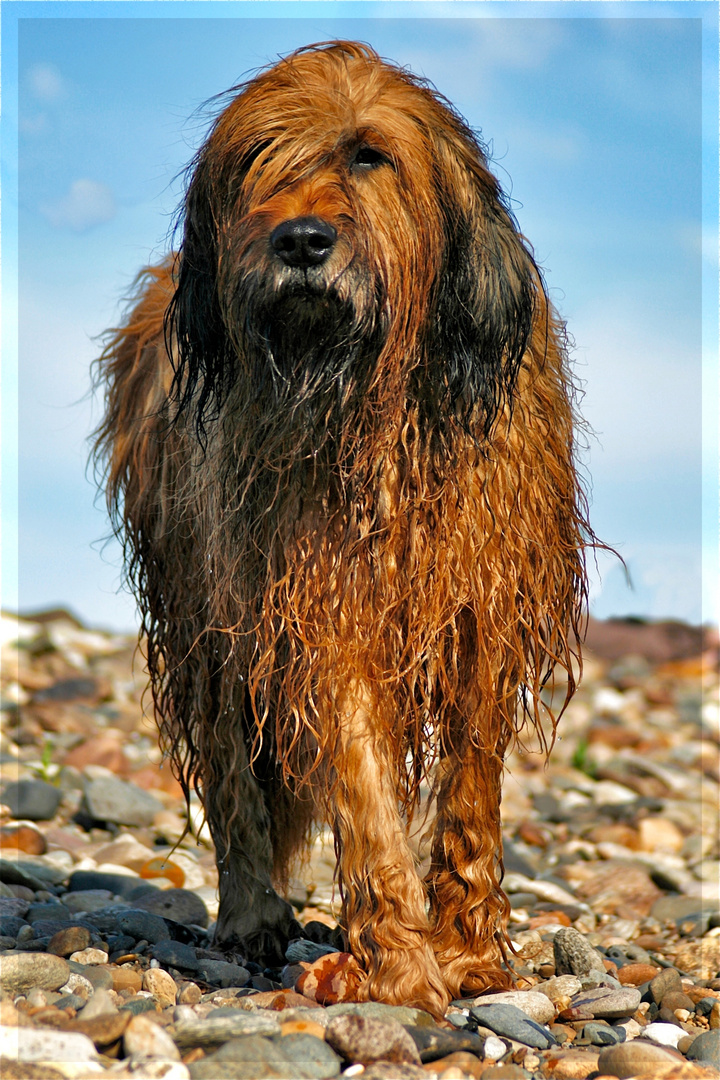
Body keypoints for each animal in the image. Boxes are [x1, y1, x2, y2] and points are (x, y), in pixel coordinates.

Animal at [92, 44, 591, 1019]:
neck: (374, 406)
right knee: (231, 772)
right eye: (258, 160)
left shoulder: (483, 611)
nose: (301, 241)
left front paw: (467, 952)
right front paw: (399, 965)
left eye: (370, 155)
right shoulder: (313, 610)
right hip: (204, 611)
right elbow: (359, 787)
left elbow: (470, 791)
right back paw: (252, 916)